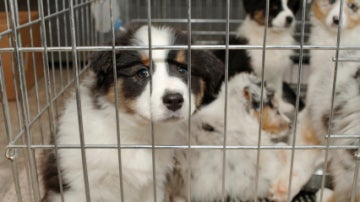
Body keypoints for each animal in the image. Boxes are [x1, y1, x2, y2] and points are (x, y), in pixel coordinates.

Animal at [40, 24, 224, 202]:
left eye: (182, 70)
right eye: (142, 73)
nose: (174, 100)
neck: (135, 136)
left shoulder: (152, 184)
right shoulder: (75, 186)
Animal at [270, 0, 360, 201]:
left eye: (353, 6)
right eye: (331, 2)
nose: (336, 20)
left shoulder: (317, 109)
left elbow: (302, 154)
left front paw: (284, 186)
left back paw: (324, 195)